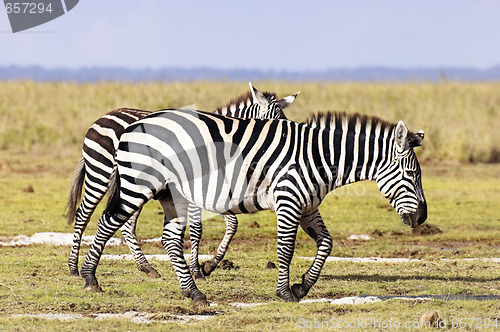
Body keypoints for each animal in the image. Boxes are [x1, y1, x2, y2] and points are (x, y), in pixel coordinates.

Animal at [67, 82, 300, 278]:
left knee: (127, 224)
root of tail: (104, 116)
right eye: (274, 125)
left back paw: (146, 267)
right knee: (84, 215)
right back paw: (73, 268)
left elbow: (231, 224)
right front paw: (196, 269)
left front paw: (209, 265)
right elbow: (197, 230)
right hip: (101, 174)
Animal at [81, 109, 426, 306]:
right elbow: (286, 250)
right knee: (108, 221)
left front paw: (303, 286)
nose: (422, 218)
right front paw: (286, 293)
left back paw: (193, 293)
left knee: (168, 239)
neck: (319, 158)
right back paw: (89, 278)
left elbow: (327, 244)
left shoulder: (308, 206)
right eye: (412, 174)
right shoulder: (289, 201)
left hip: (171, 193)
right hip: (139, 183)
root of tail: (132, 124)